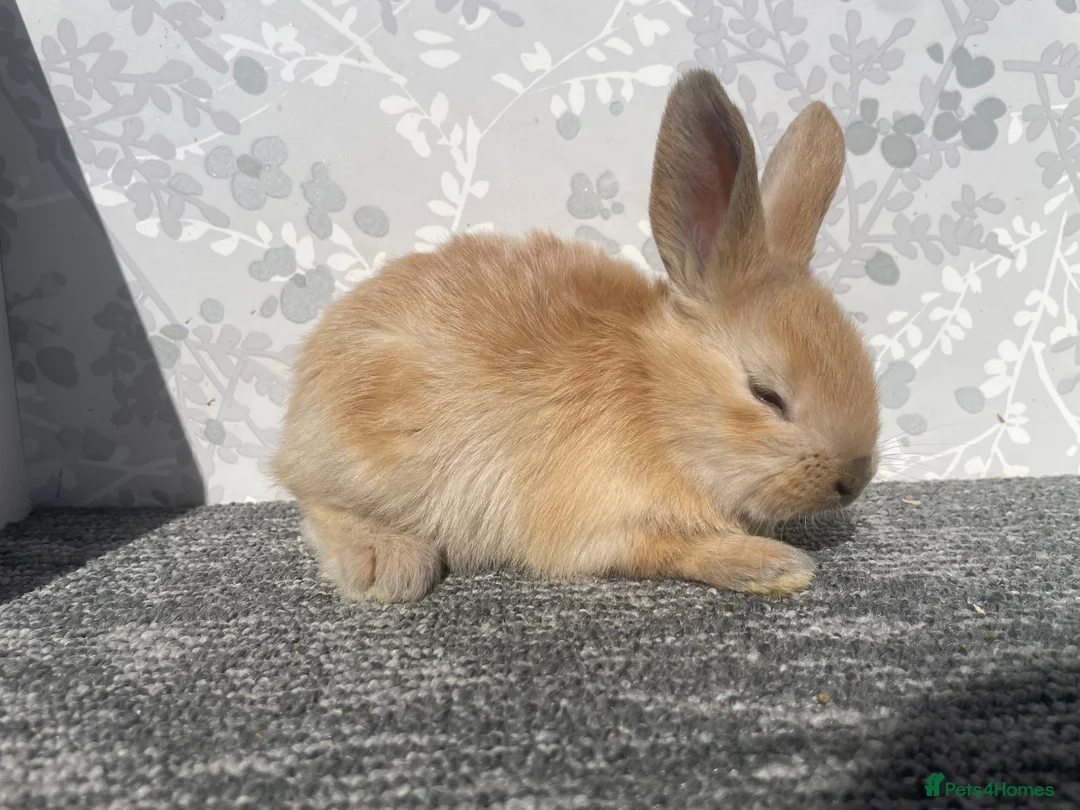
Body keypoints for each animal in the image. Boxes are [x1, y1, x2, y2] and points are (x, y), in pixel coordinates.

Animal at [272, 68, 880, 604]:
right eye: (766, 395)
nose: (856, 479)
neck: (656, 400)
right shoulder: (605, 524)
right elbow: (677, 548)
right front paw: (775, 566)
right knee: (315, 501)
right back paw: (387, 564)